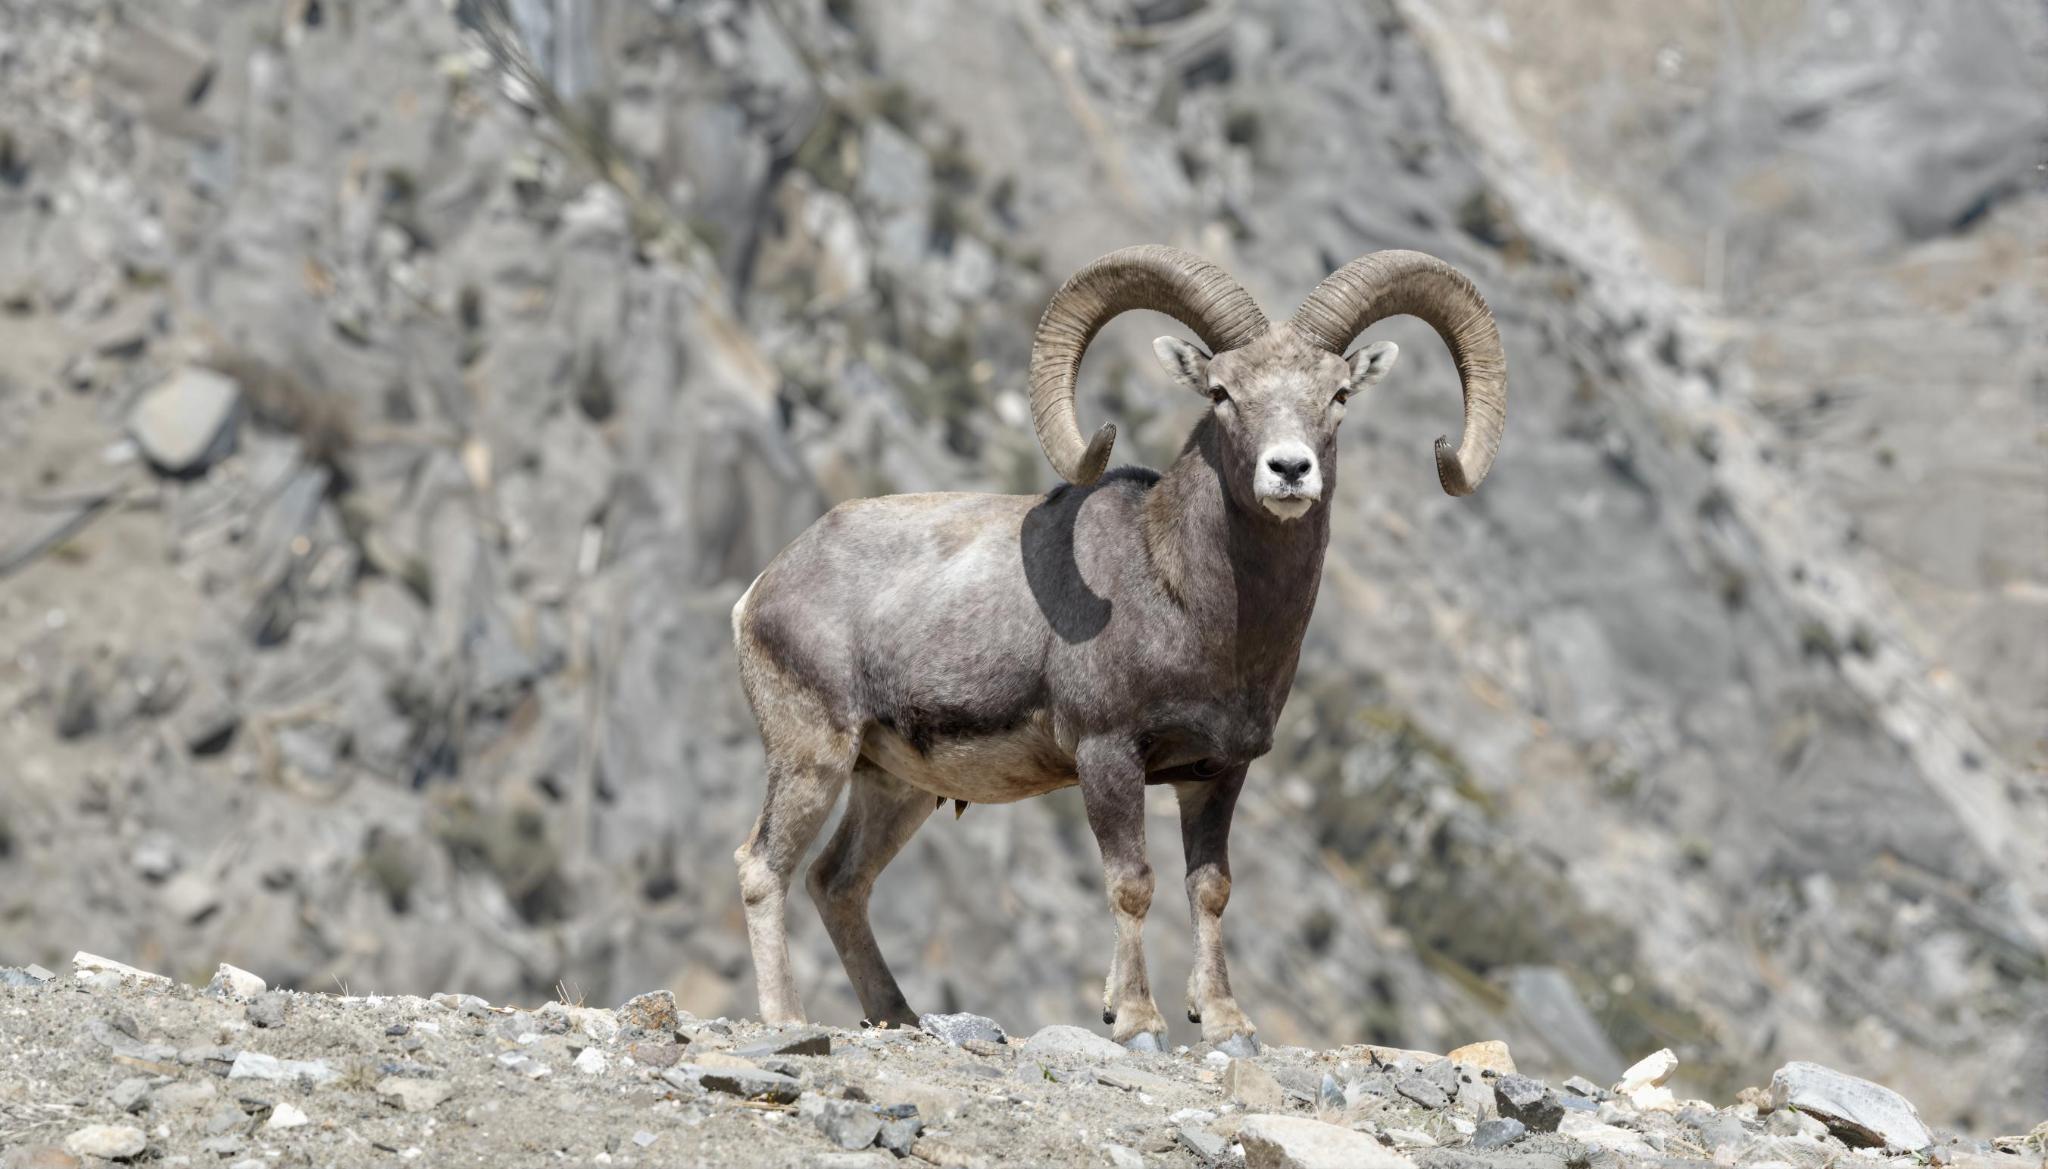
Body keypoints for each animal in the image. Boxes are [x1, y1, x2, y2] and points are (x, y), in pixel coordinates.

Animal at [731, 246, 1507, 1051]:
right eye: (1223, 392)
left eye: (1339, 394)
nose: (1290, 471)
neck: (1186, 600)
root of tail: (764, 588)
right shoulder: (1108, 756)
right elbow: (1132, 883)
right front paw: (1137, 1021)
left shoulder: (1216, 773)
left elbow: (1210, 888)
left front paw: (1225, 1023)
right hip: (813, 755)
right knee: (763, 868)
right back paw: (786, 1017)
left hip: (894, 787)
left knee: (839, 882)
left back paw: (899, 1015)